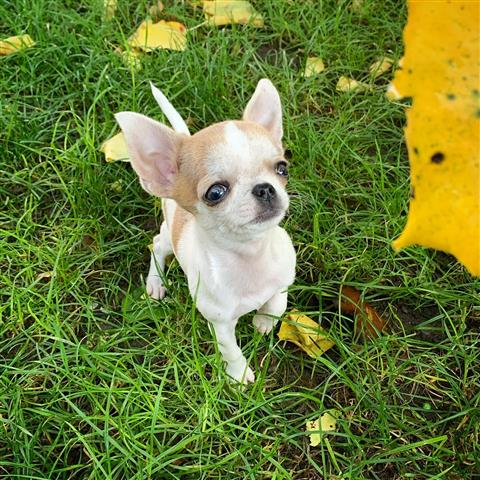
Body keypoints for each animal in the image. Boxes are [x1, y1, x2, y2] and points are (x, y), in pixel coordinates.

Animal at [116, 80, 296, 384]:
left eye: (281, 168)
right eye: (215, 193)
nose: (265, 188)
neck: (251, 255)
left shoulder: (285, 276)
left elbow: (277, 303)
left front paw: (263, 320)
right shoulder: (219, 323)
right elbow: (231, 351)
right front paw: (238, 377)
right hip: (168, 237)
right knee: (157, 245)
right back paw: (156, 282)